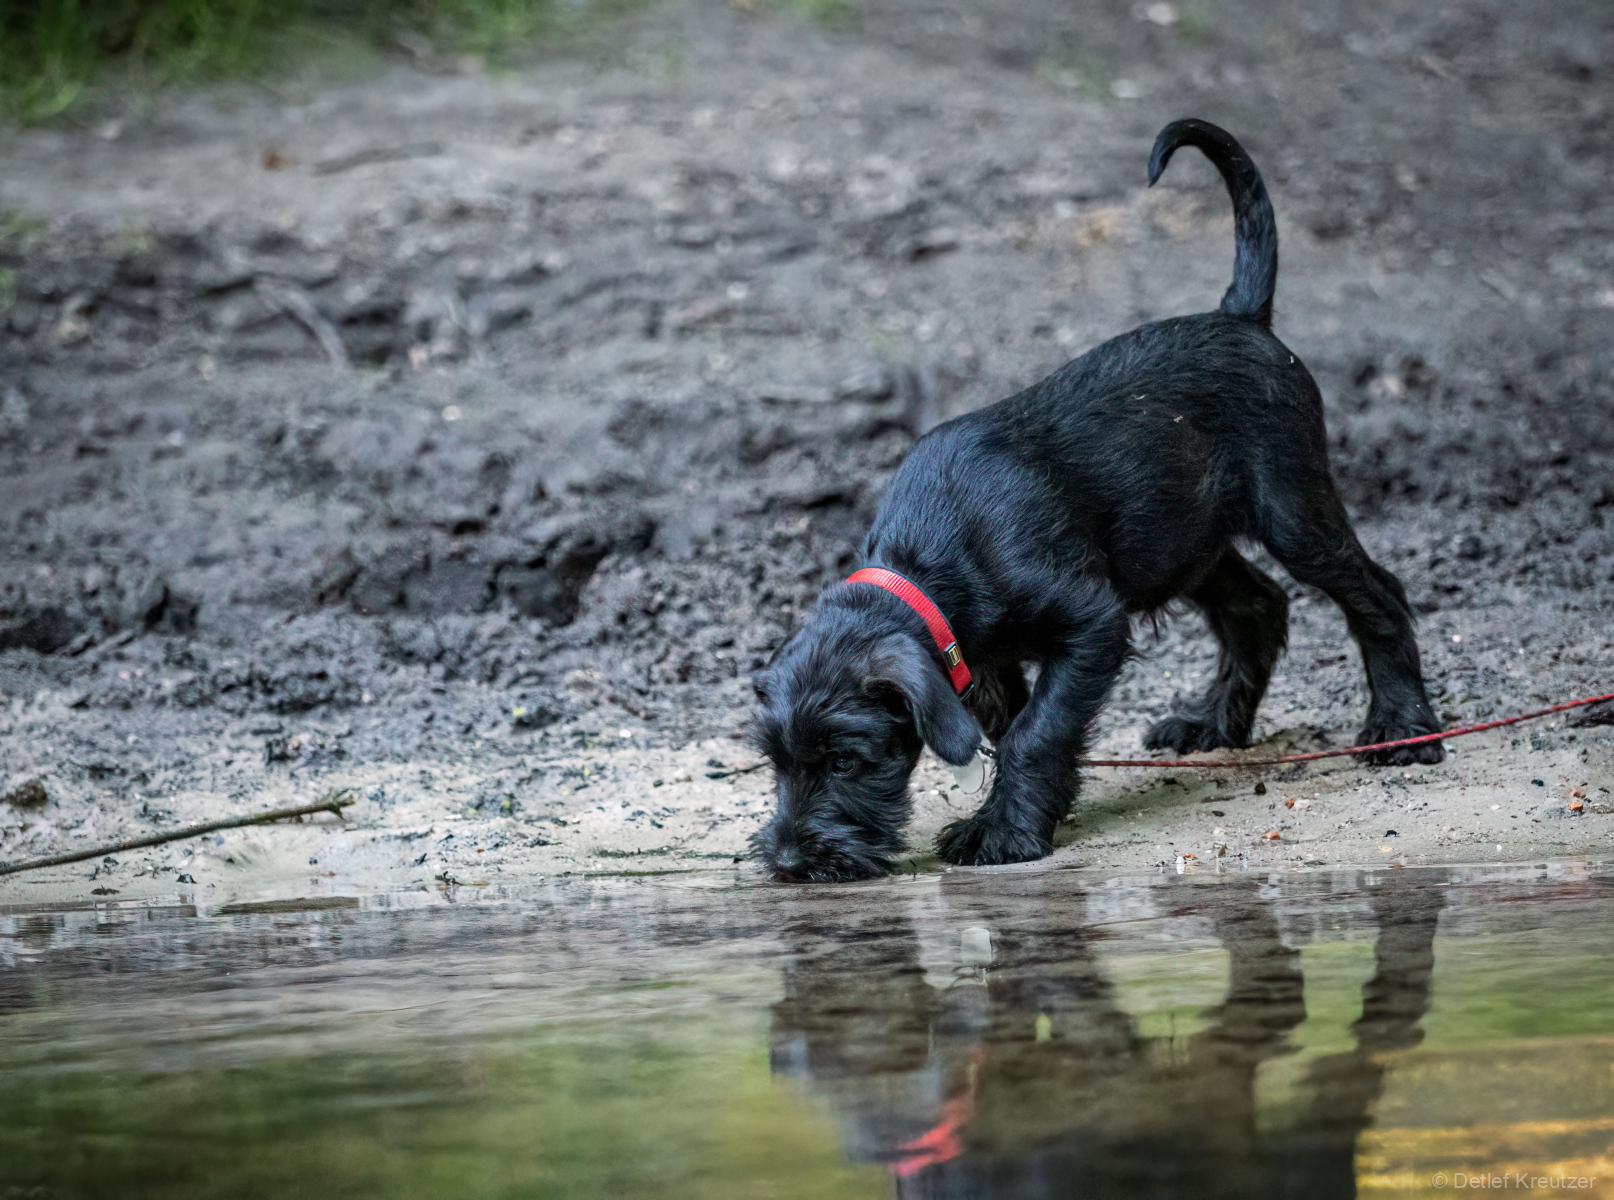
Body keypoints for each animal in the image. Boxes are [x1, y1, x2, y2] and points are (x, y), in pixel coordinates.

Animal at [750, 118, 1443, 883]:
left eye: (845, 760)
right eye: (777, 762)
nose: (788, 861)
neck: (932, 557)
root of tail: (1243, 317)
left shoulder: (1090, 624)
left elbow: (1035, 731)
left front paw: (1004, 831)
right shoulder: (986, 660)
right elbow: (1019, 725)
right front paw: (1037, 808)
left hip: (1293, 512)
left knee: (1376, 593)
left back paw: (1404, 729)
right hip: (1186, 543)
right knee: (1257, 607)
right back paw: (1213, 726)